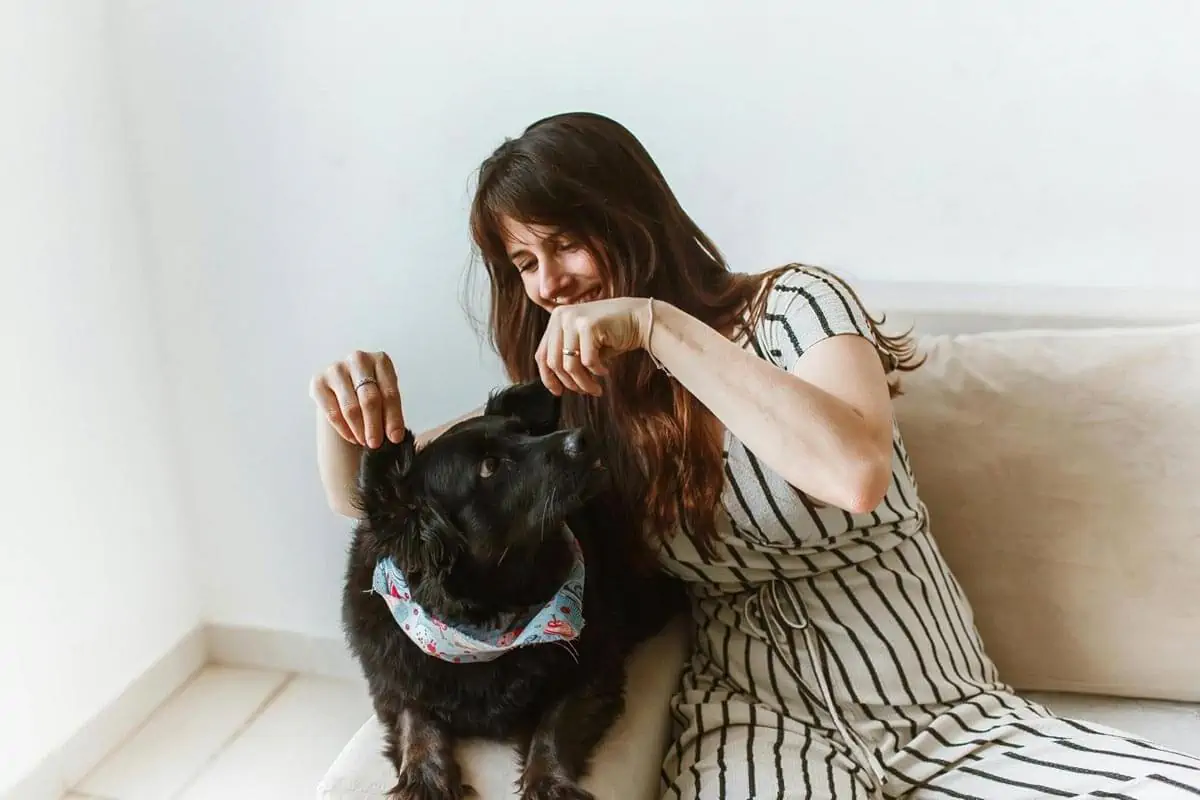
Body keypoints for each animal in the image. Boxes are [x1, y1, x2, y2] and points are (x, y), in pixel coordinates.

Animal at [343, 381, 691, 800]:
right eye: (489, 467)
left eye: (525, 432)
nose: (583, 438)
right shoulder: (396, 683)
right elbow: (417, 719)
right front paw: (424, 778)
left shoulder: (593, 671)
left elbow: (552, 727)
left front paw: (548, 782)